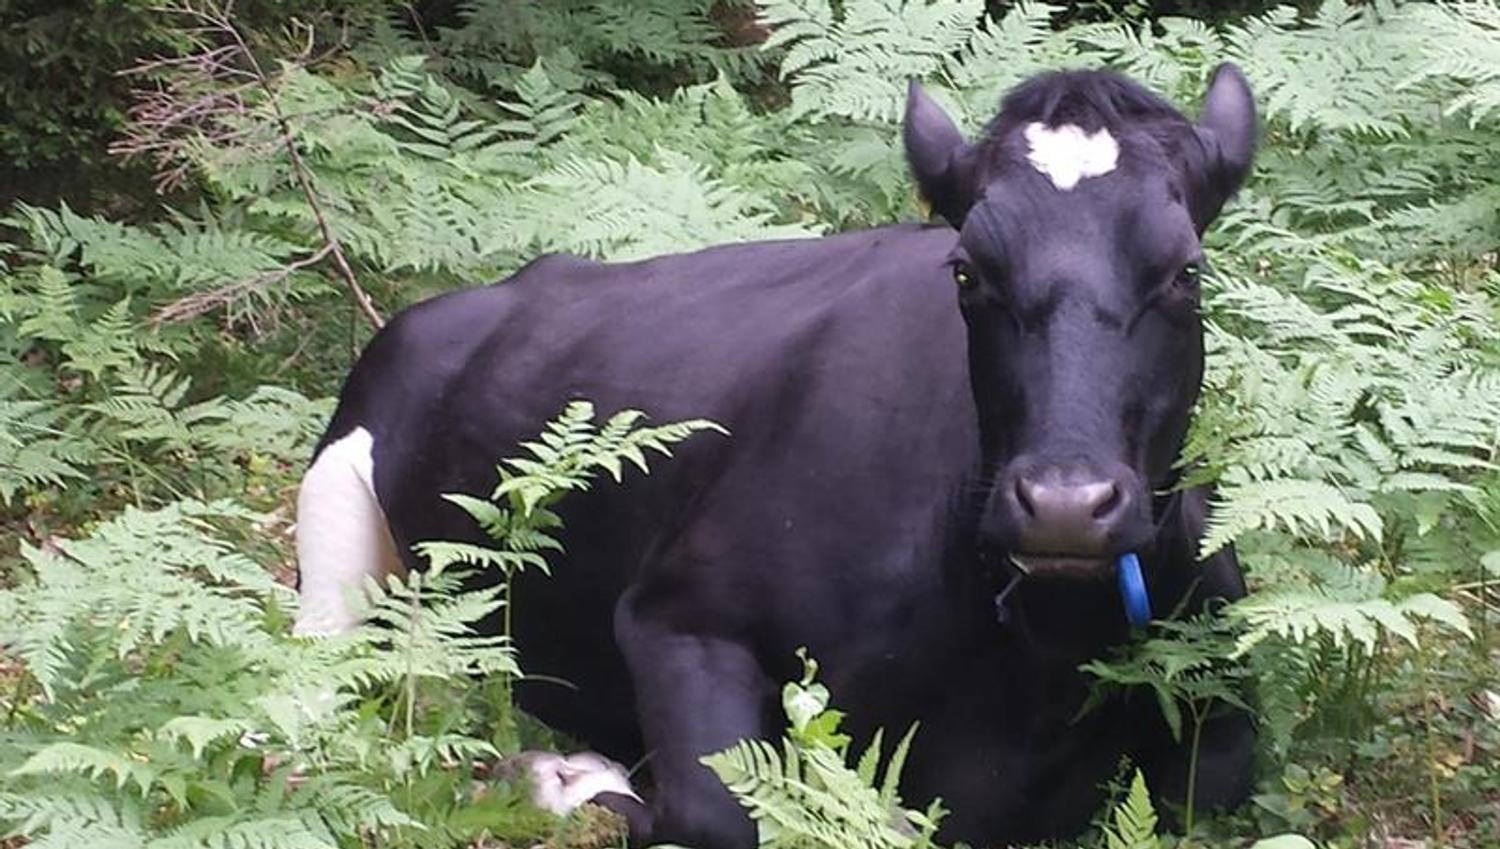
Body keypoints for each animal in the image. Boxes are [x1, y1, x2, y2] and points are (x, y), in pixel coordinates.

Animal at [294, 65, 1259, 848]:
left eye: (1186, 272)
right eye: (967, 271)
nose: (1063, 503)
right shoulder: (676, 613)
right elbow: (716, 811)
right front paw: (562, 777)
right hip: (336, 539)